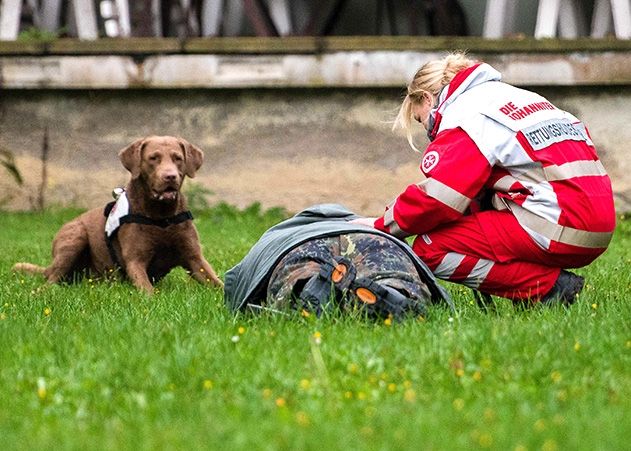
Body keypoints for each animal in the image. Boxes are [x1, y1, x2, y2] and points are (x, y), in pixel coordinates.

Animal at [12, 136, 225, 294]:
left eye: (178, 158)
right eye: (153, 158)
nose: (170, 176)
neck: (161, 216)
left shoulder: (195, 258)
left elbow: (218, 284)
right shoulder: (135, 261)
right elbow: (149, 292)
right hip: (74, 237)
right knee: (52, 278)